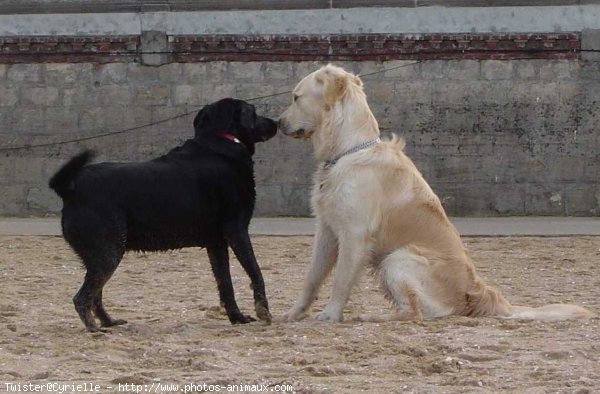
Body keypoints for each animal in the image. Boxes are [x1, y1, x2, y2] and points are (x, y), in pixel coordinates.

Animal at [50, 99, 278, 332]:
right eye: (253, 112)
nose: (276, 123)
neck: (220, 140)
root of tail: (71, 188)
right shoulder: (237, 230)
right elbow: (256, 272)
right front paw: (263, 311)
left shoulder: (217, 243)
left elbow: (226, 283)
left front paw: (236, 317)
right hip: (108, 253)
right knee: (82, 298)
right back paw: (94, 328)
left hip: (101, 256)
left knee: (95, 295)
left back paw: (108, 322)